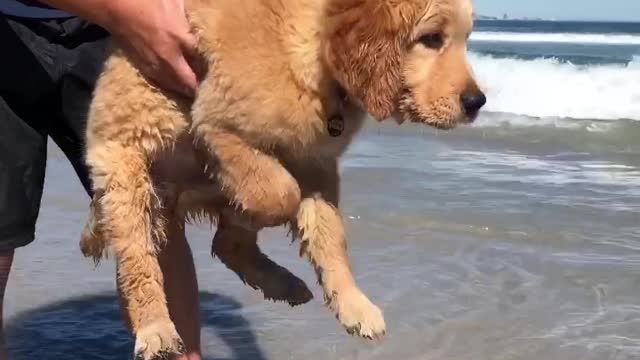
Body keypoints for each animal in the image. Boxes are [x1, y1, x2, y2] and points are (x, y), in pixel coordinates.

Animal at [81, 0, 484, 358]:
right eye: (431, 38)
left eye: (466, 38)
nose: (477, 102)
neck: (312, 49)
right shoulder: (217, 125)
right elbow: (280, 195)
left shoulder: (317, 165)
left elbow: (330, 237)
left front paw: (354, 305)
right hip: (126, 175)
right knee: (139, 262)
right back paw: (155, 328)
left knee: (225, 245)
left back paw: (282, 281)